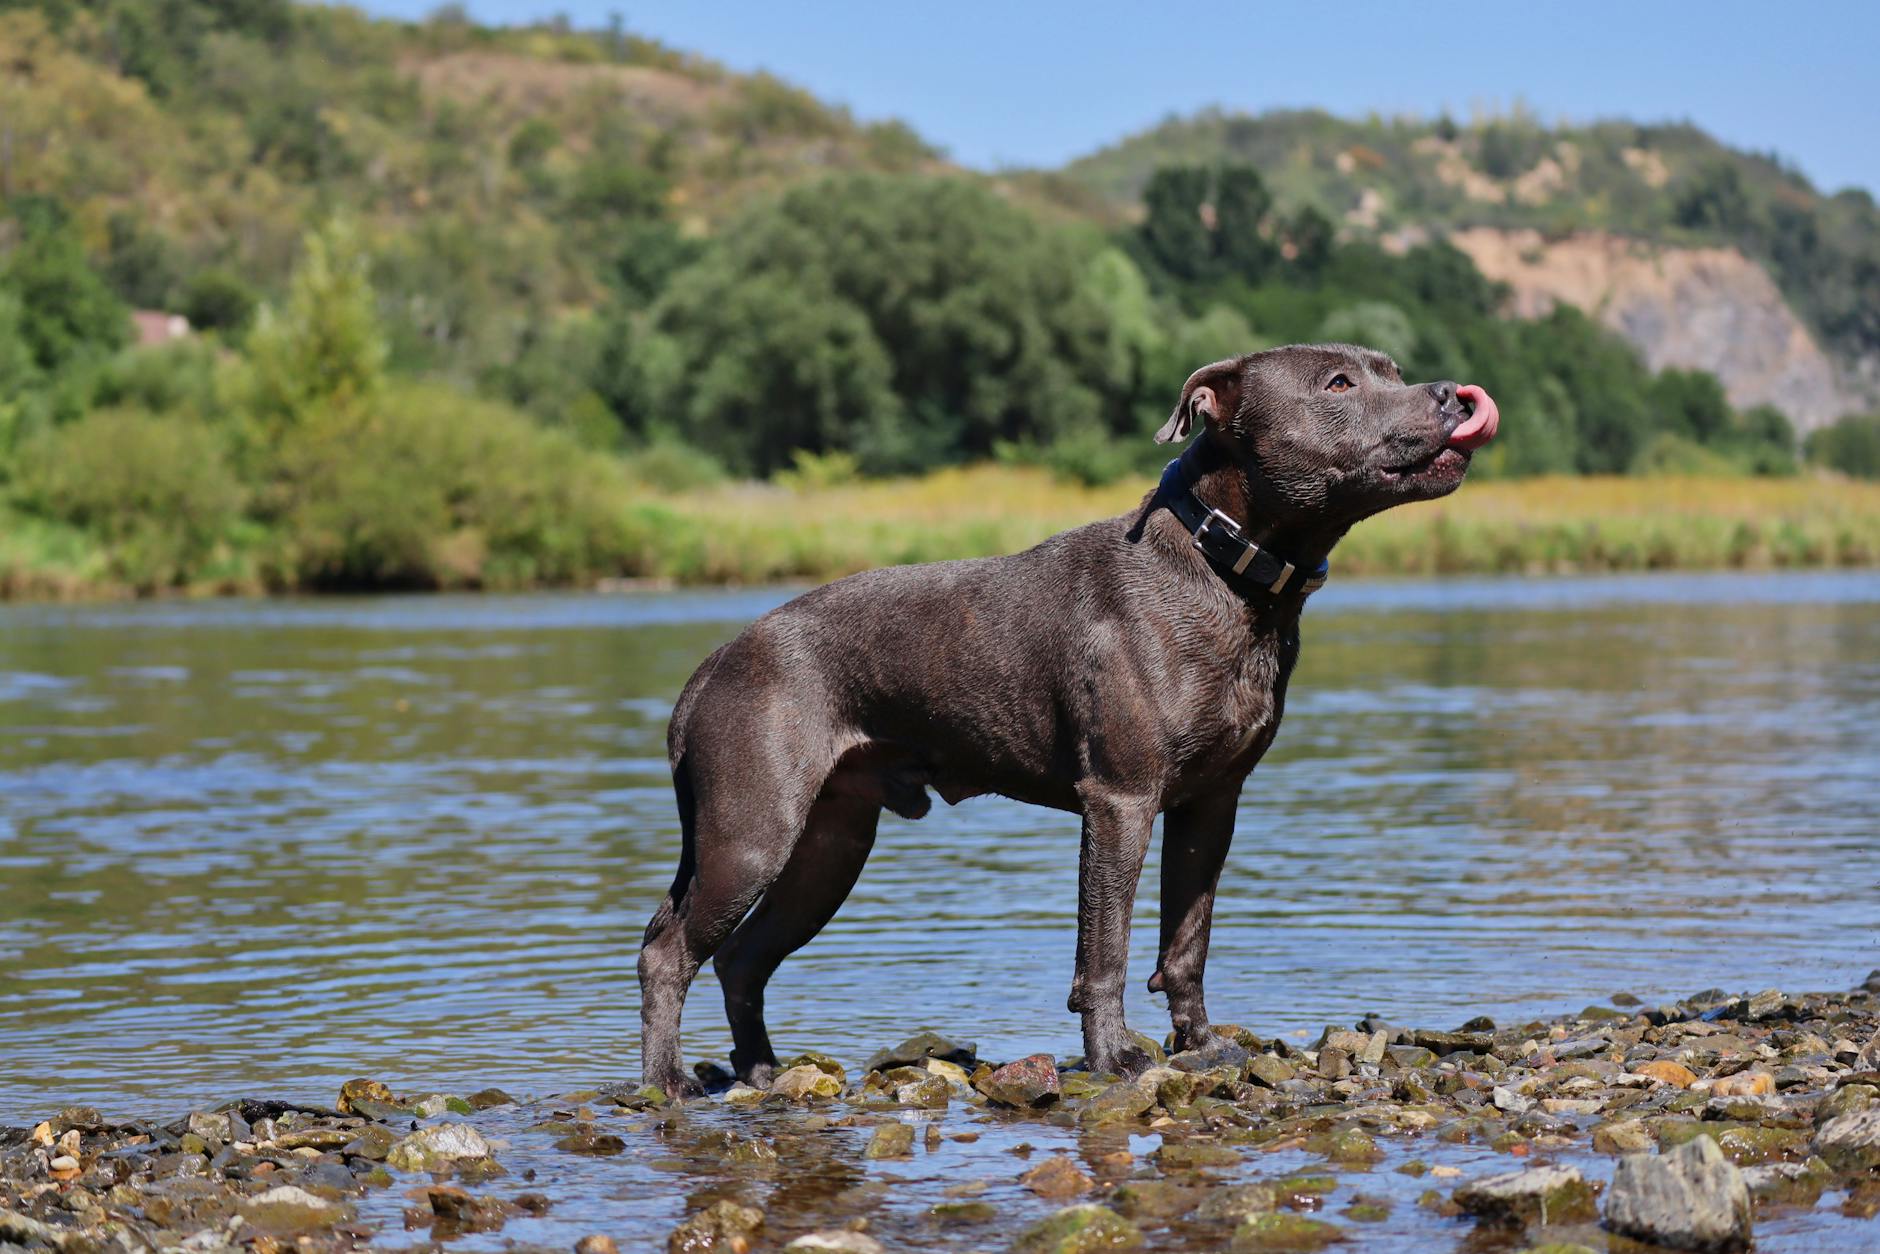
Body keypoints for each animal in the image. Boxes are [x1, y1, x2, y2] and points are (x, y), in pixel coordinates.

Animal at [639, 344, 1504, 1097]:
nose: (1454, 394)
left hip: (828, 848)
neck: (1228, 566)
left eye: (1390, 368)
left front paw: (1201, 1046)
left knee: (742, 960)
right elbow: (1106, 947)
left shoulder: (1209, 805)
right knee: (667, 950)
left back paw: (759, 1071)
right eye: (1337, 384)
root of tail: (714, 663)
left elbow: (1186, 942)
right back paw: (668, 1082)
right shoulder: (1119, 801)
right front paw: (1116, 1058)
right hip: (752, 836)